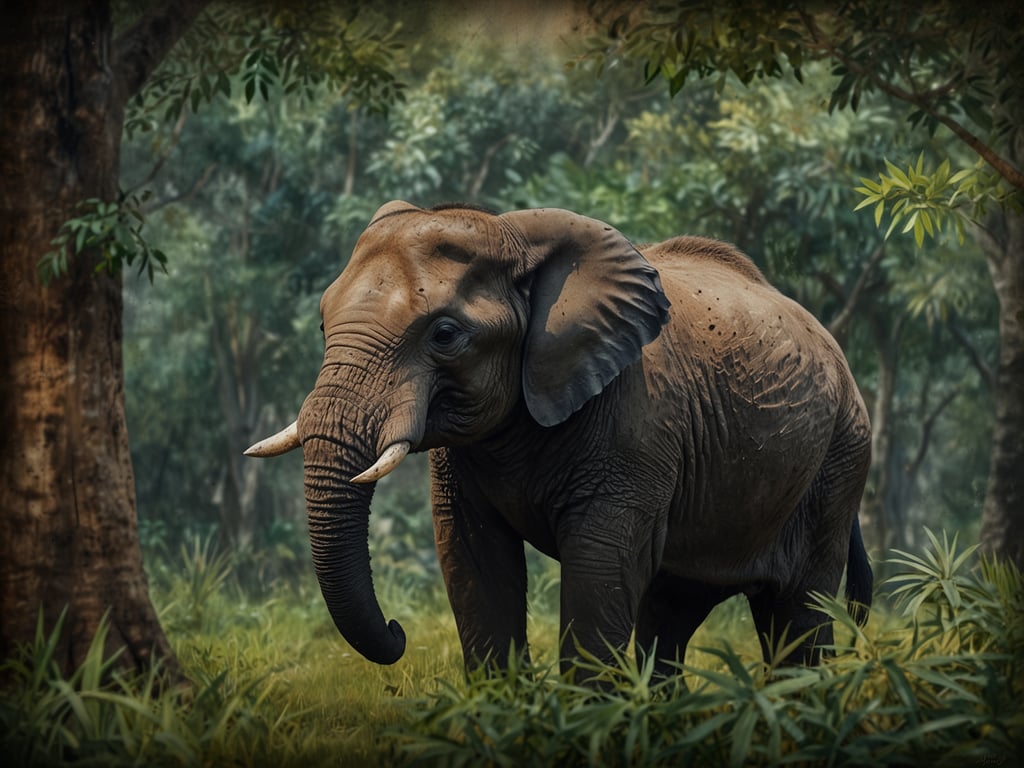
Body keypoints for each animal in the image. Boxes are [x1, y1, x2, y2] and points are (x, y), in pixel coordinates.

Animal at [246, 200, 873, 676]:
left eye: (445, 335)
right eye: (323, 323)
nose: (398, 631)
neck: (512, 233)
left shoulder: (638, 425)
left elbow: (598, 570)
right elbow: (474, 560)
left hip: (839, 461)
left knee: (798, 615)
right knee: (671, 615)